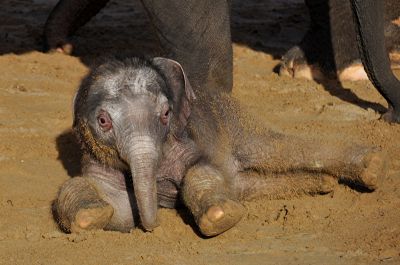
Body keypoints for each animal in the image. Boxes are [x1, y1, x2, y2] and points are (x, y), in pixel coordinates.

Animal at [54, 57, 386, 235]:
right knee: (245, 183)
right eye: (103, 121)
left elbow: (199, 170)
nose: (153, 227)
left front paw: (221, 216)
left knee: (274, 148)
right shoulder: (94, 158)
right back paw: (325, 184)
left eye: (166, 114)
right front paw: (90, 216)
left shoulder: (187, 139)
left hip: (234, 120)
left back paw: (371, 167)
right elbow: (119, 211)